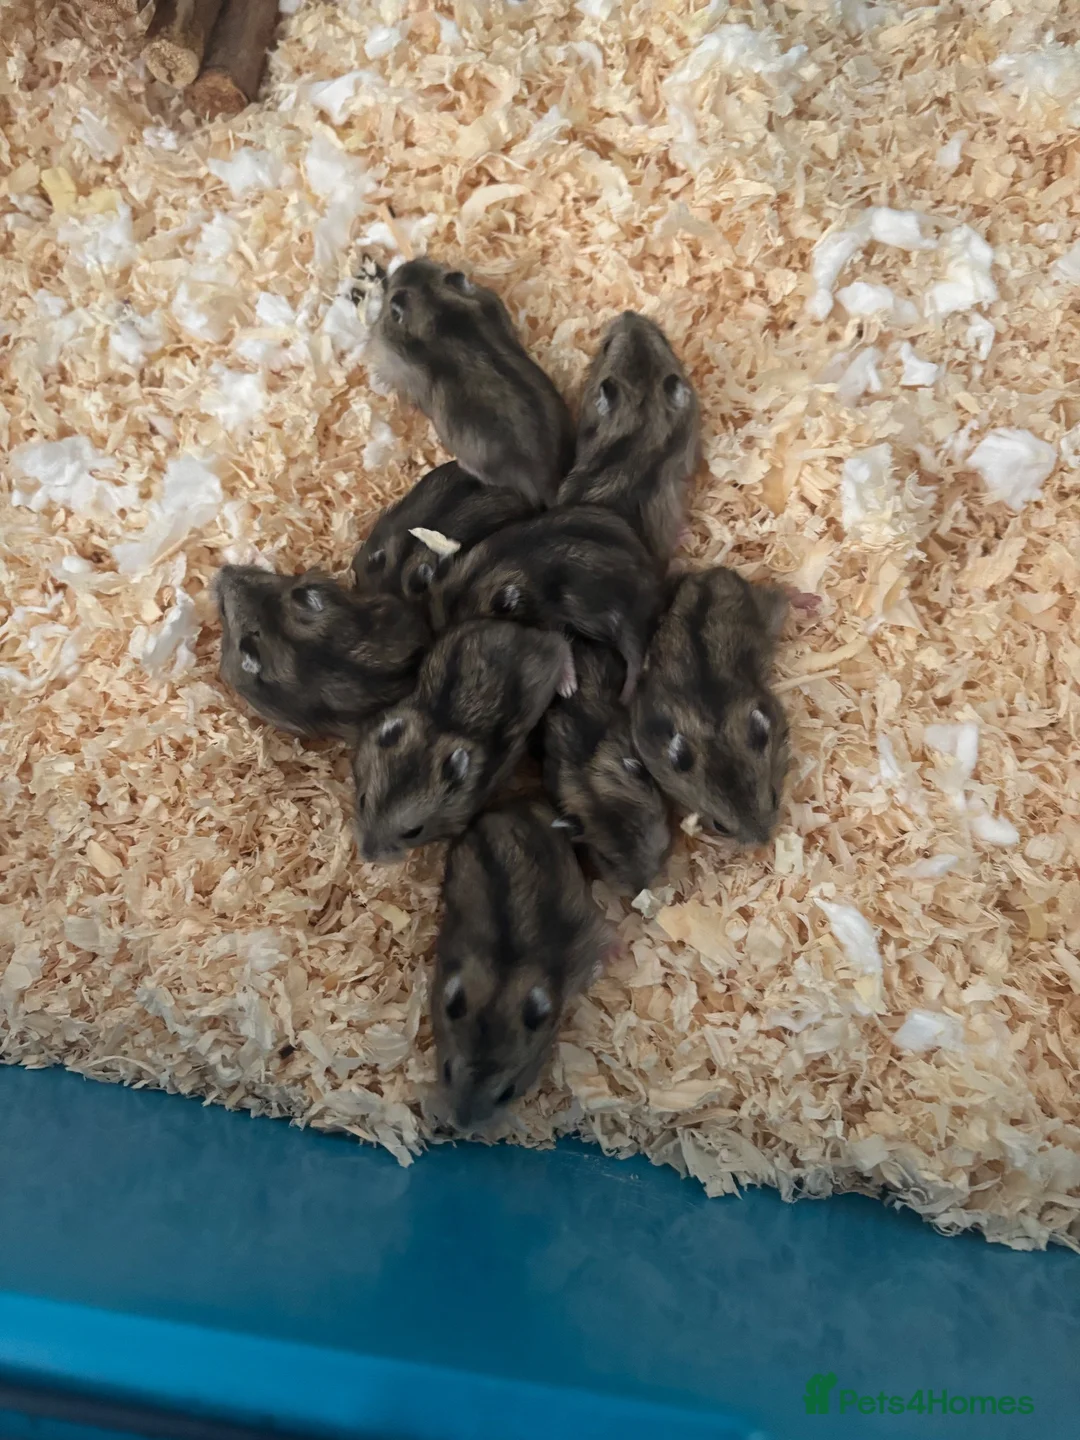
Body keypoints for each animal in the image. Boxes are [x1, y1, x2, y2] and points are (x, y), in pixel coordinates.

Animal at [352, 620, 574, 862]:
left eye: (413, 832)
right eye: (362, 800)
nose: (366, 855)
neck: (437, 733)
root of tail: (520, 630)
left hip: (546, 669)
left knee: (559, 642)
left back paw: (568, 687)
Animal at [630, 566, 791, 846]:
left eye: (773, 797)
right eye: (720, 827)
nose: (763, 843)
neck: (714, 736)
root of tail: (711, 575)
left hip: (767, 611)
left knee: (780, 595)